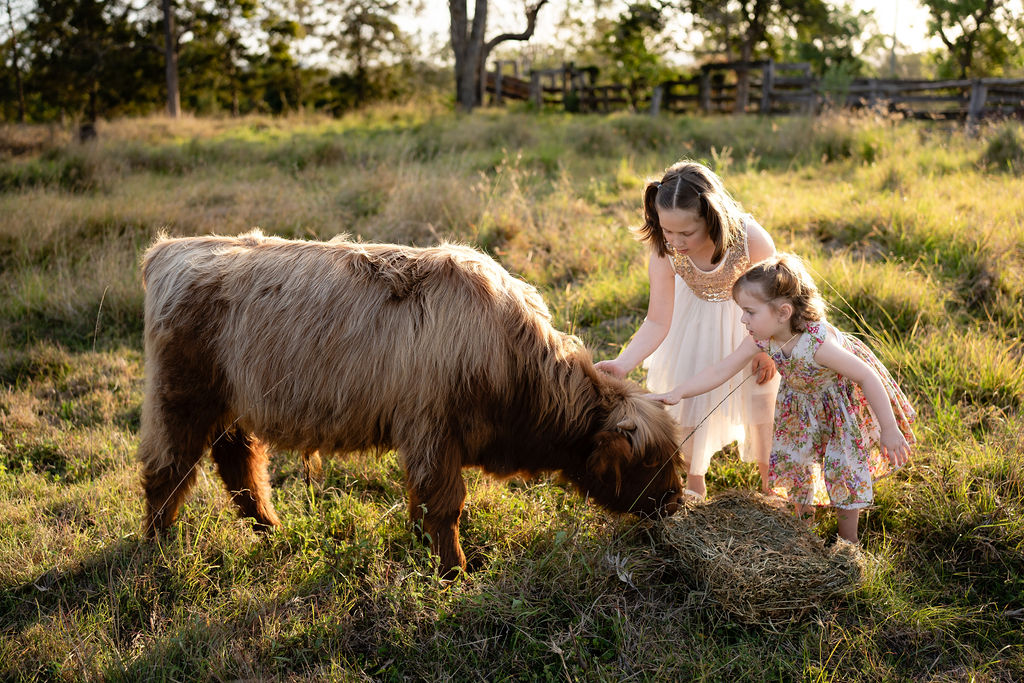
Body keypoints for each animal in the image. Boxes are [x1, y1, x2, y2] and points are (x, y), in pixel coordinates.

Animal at [136, 231, 679, 577]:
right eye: (650, 461)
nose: (674, 501)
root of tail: (171, 248)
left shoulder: (426, 441)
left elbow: (423, 503)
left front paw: (424, 550)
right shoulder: (433, 432)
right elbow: (445, 505)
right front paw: (455, 572)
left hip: (233, 405)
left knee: (241, 466)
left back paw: (271, 531)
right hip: (180, 399)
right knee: (168, 470)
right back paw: (159, 549)